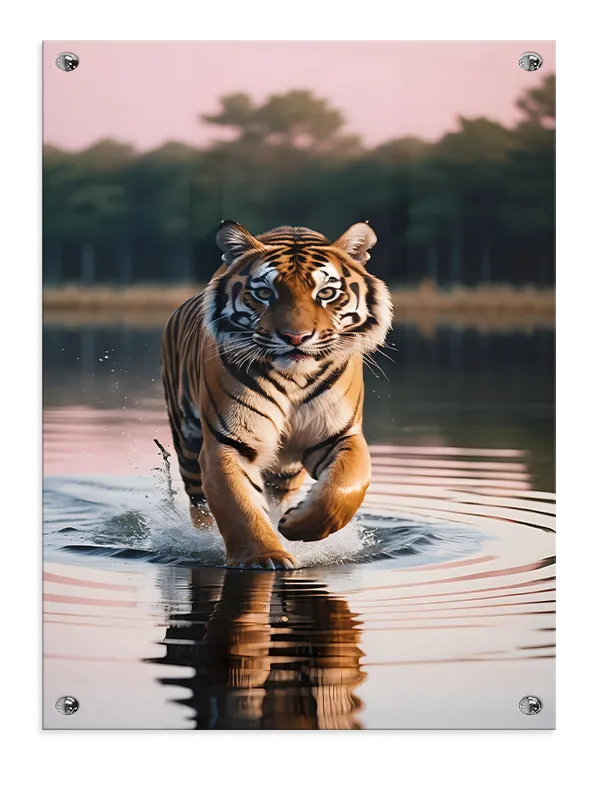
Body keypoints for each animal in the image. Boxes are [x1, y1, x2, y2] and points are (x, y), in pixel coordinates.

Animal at [160, 220, 393, 570]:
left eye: (326, 293)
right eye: (264, 293)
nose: (295, 337)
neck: (293, 380)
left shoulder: (340, 435)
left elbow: (344, 487)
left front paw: (297, 525)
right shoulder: (229, 442)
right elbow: (238, 505)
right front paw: (264, 557)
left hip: (286, 471)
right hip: (187, 444)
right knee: (199, 504)